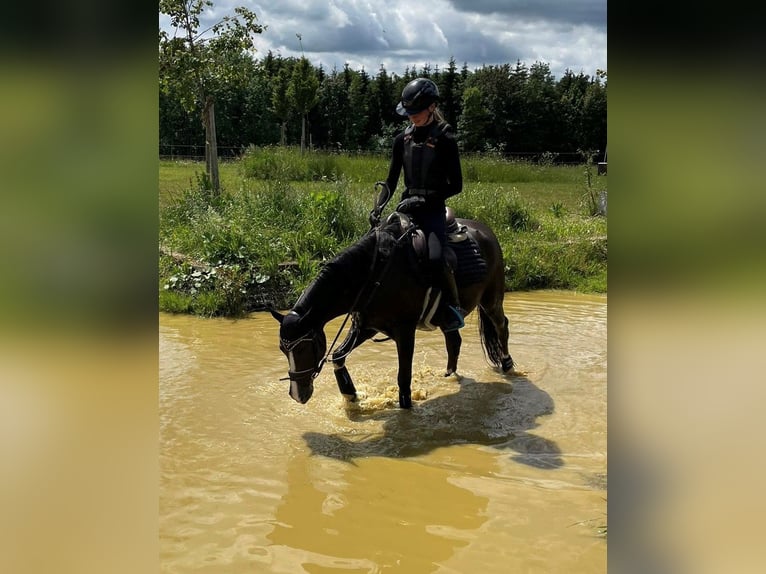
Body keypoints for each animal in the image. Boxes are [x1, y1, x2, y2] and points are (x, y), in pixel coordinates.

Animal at [270, 205, 516, 412]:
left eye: (303, 349)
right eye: (283, 349)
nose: (297, 395)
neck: (373, 273)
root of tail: (486, 231)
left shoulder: (405, 331)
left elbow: (403, 378)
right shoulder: (367, 326)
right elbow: (339, 355)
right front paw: (351, 394)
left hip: (491, 300)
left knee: (501, 326)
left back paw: (507, 364)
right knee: (454, 341)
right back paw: (448, 376)